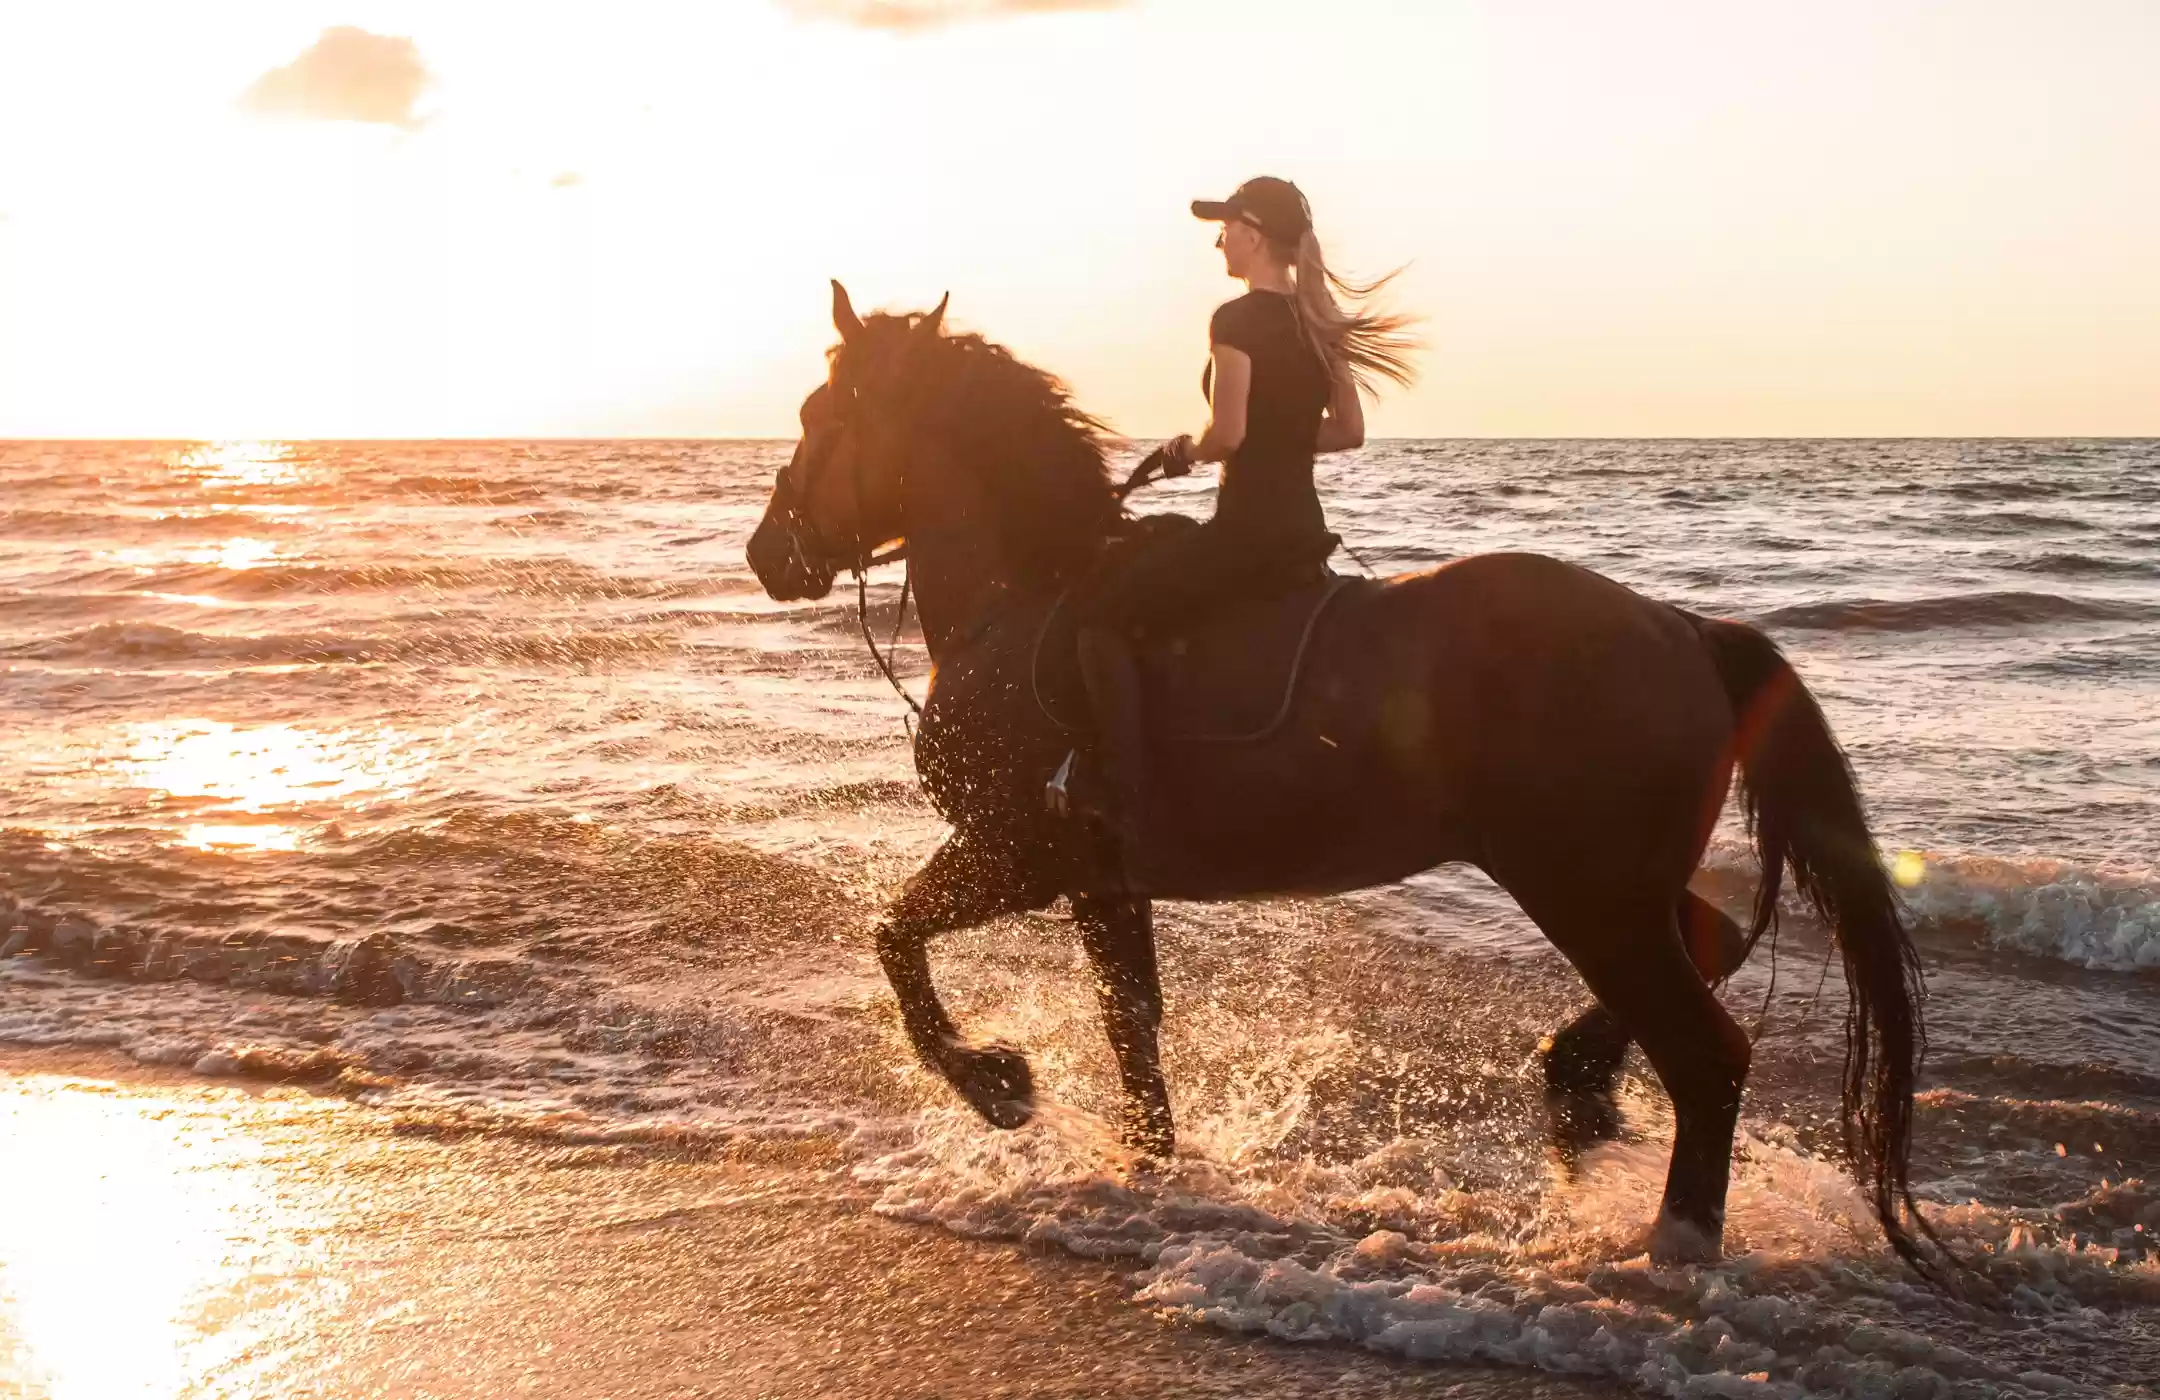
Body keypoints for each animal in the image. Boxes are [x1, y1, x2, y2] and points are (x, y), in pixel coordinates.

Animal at [744, 282, 1943, 1278]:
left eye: (815, 416)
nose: (768, 554)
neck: (1021, 596)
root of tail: (1684, 629)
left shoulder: (1015, 855)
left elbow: (897, 941)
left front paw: (997, 1082)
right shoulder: (1101, 881)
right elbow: (1132, 1025)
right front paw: (1148, 1167)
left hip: (1583, 890)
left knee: (1706, 1052)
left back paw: (1673, 1243)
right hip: (1623, 886)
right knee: (1716, 940)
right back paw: (1577, 1092)